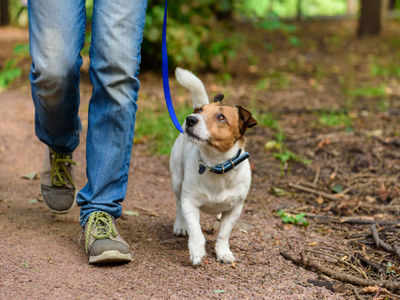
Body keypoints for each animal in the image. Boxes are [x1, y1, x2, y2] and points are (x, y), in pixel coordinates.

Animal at [169, 68, 256, 264]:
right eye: (200, 111)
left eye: (221, 117)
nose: (190, 119)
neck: (216, 165)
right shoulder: (190, 202)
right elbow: (196, 231)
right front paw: (197, 251)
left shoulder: (235, 209)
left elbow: (224, 234)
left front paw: (223, 252)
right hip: (177, 181)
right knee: (177, 204)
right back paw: (180, 225)